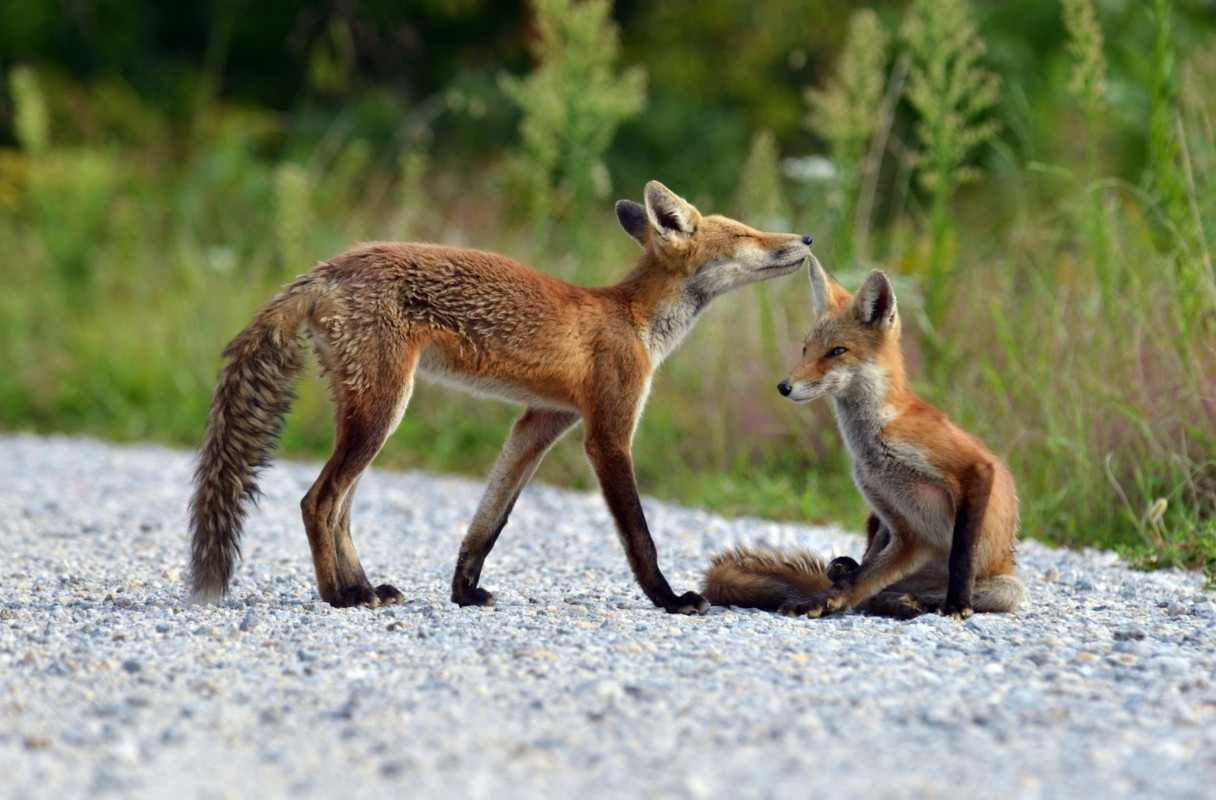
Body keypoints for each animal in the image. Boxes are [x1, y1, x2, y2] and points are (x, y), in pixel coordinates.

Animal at [189, 183, 812, 612]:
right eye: (747, 234)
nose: (805, 239)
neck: (634, 320)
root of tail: (327, 269)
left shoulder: (540, 422)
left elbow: (488, 522)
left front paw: (464, 591)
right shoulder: (607, 433)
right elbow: (640, 535)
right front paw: (670, 599)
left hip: (367, 412)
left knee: (339, 510)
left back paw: (362, 585)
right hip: (383, 411)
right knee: (317, 502)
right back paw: (340, 596)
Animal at [705, 258, 1026, 620]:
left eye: (837, 351)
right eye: (805, 349)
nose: (784, 387)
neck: (874, 437)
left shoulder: (973, 468)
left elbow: (961, 554)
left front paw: (958, 603)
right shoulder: (904, 528)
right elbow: (857, 581)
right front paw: (820, 601)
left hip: (1006, 587)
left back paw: (914, 602)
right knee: (859, 586)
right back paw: (893, 602)